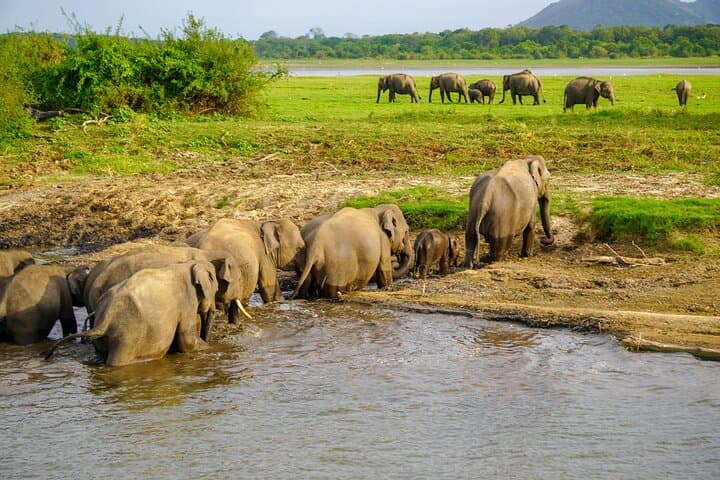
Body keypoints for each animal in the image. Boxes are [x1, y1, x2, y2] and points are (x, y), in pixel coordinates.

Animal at [46, 260, 218, 367]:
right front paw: (207, 347)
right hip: (127, 336)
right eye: (216, 290)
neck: (188, 264)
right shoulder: (187, 301)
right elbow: (186, 341)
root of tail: (105, 319)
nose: (207, 340)